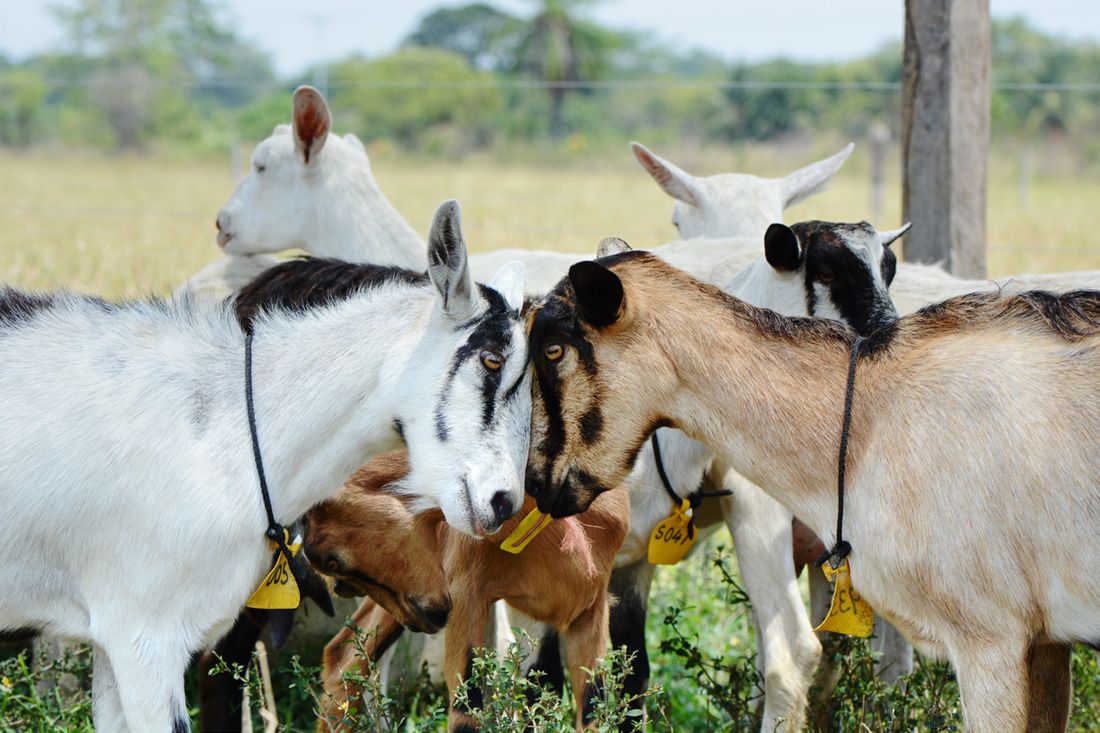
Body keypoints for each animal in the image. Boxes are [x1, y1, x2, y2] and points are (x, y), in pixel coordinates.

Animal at [304, 450, 629, 732]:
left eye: (334, 560)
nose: (339, 587)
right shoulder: (466, 594)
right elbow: (466, 712)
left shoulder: (590, 608)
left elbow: (593, 712)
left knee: (343, 655)